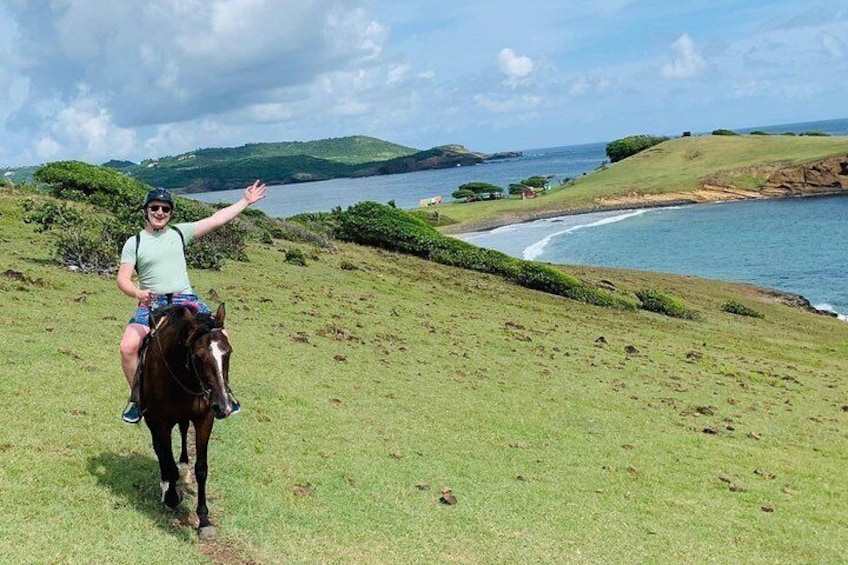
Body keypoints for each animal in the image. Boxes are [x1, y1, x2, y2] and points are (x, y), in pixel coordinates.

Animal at [139, 302, 234, 536]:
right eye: (199, 356)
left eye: (228, 352)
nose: (224, 407)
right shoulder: (161, 422)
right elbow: (166, 459)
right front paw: (172, 497)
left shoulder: (205, 418)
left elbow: (201, 468)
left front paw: (204, 519)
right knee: (161, 451)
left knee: (182, 431)